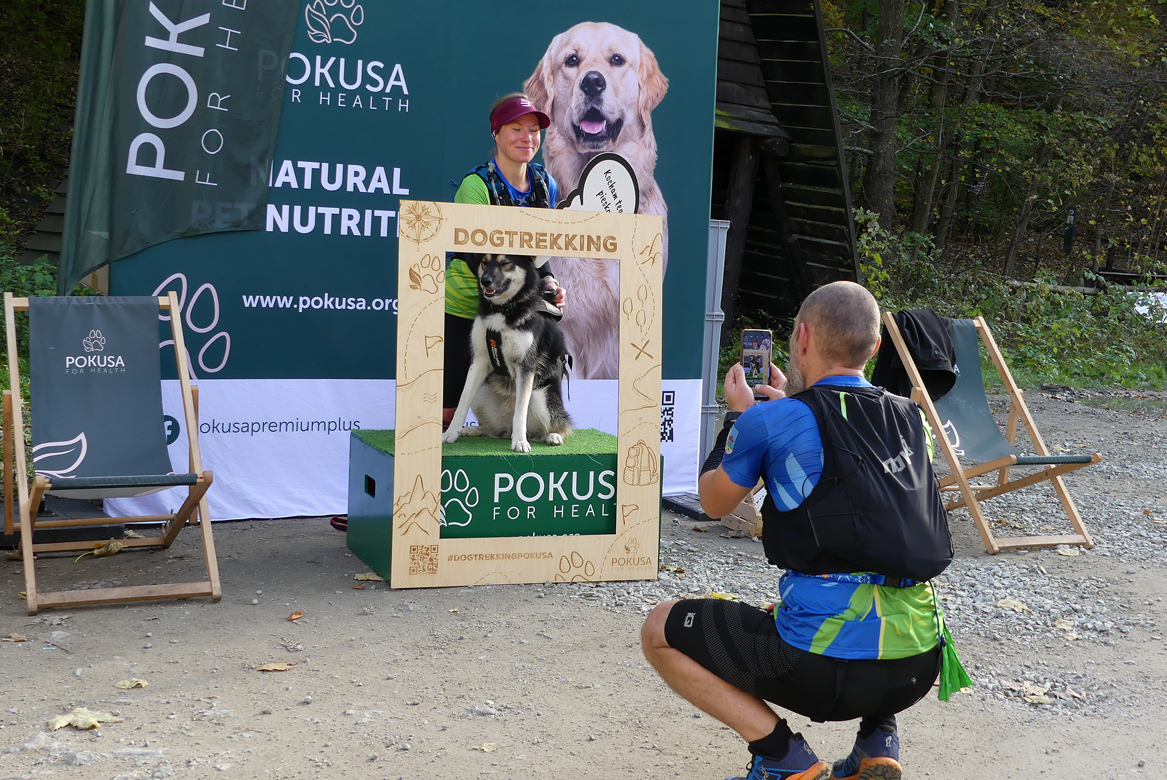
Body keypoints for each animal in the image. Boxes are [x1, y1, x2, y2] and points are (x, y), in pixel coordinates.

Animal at [441, 254, 573, 453]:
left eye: (505, 263)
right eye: (484, 262)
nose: (484, 281)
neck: (503, 309)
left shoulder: (525, 366)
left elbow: (520, 410)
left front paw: (519, 441)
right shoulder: (479, 361)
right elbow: (462, 402)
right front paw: (451, 433)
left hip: (541, 396)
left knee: (561, 425)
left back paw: (553, 436)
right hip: (481, 394)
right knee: (492, 430)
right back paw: (475, 429)